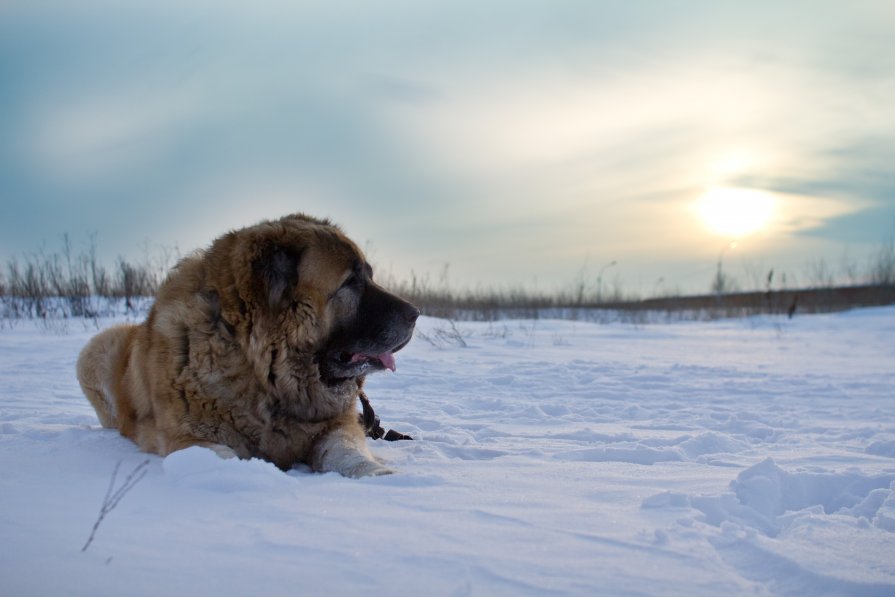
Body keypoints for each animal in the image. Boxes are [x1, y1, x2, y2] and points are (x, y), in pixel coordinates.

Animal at [76, 212, 420, 478]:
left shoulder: (336, 425)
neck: (263, 371)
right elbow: (224, 459)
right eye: (350, 282)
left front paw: (382, 475)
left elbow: (348, 452)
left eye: (369, 276)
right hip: (98, 348)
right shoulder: (189, 438)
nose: (415, 314)